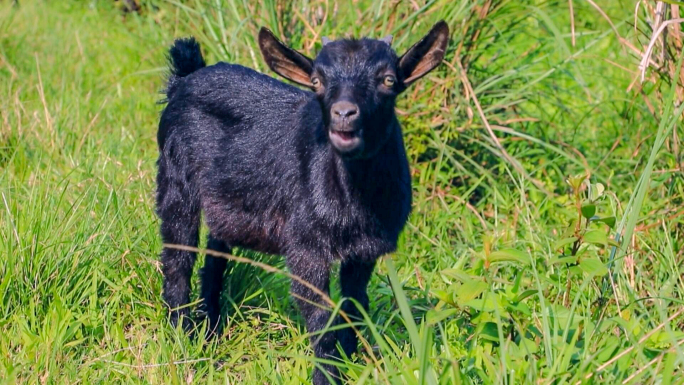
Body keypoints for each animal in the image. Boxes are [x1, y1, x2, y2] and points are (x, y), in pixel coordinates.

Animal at [158, 22, 452, 382]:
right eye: (316, 81)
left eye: (388, 80)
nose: (343, 114)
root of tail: (186, 77)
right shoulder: (306, 248)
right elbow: (321, 319)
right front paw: (327, 376)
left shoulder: (364, 252)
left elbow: (355, 304)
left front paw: (350, 362)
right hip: (175, 178)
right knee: (178, 257)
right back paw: (182, 335)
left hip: (227, 203)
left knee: (214, 258)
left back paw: (211, 330)